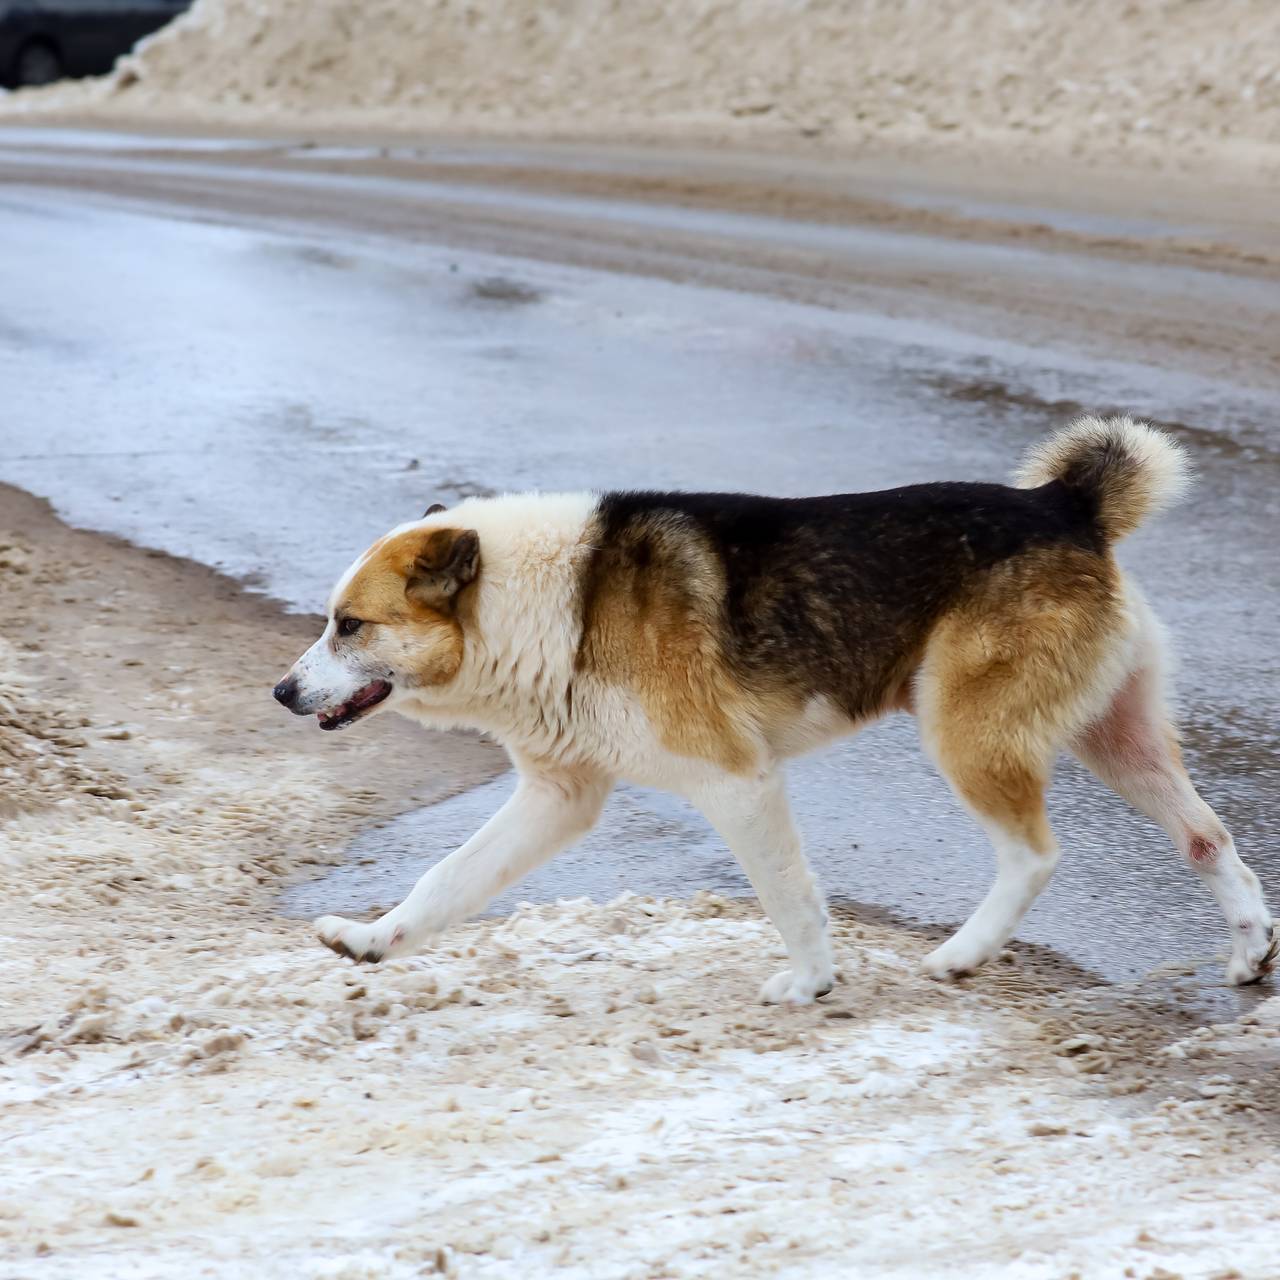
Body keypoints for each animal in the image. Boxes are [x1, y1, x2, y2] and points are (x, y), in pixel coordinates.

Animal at [270, 419, 1269, 998]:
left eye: (350, 626)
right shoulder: (559, 799)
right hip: (1117, 738)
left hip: (967, 735)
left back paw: (964, 953)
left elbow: (788, 896)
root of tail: (1064, 503)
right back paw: (1252, 949)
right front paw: (373, 941)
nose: (281, 692)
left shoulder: (738, 784)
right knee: (1207, 837)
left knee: (1033, 856)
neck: (557, 601)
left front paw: (812, 983)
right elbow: (447, 881)